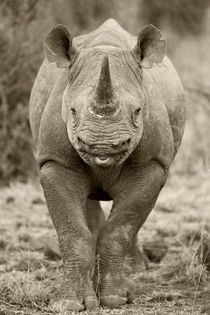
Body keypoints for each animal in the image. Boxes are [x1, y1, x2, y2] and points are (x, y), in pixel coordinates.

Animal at [29, 19, 185, 314]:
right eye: (72, 111)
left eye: (138, 112)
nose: (102, 146)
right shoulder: (54, 161)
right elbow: (72, 232)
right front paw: (69, 302)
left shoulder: (153, 164)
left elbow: (121, 228)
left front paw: (114, 298)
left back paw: (135, 269)